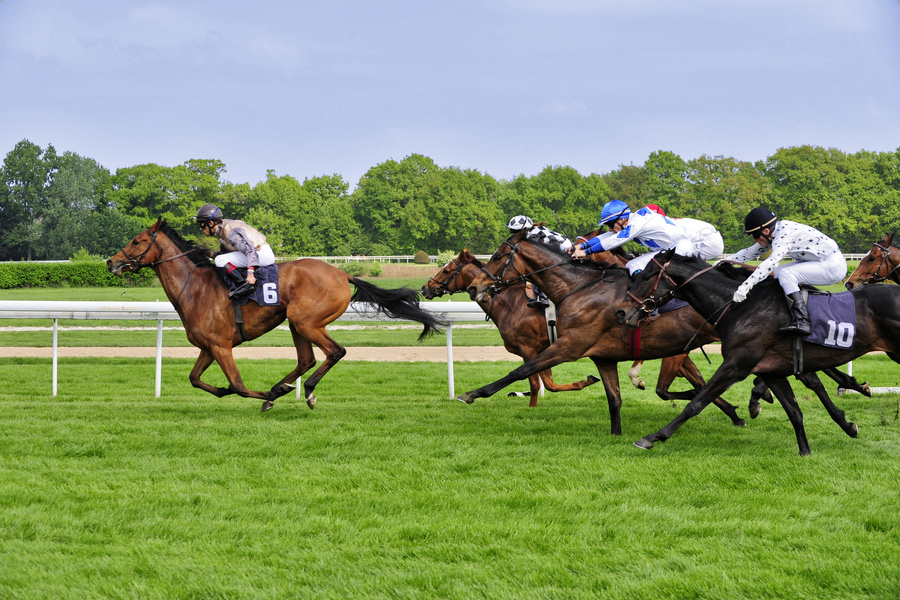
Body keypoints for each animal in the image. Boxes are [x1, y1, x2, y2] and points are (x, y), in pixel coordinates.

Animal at [107, 219, 444, 412]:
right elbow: (194, 379)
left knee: (335, 351)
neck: (195, 288)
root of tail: (341, 273)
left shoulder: (221, 346)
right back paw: (287, 387)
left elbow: (239, 386)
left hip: (305, 321)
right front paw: (232, 390)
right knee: (307, 359)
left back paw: (303, 391)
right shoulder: (208, 346)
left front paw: (265, 393)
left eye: (136, 241)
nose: (111, 262)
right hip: (297, 323)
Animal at [458, 227, 744, 434]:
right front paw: (616, 434)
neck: (578, 288)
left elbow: (521, 370)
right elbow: (614, 400)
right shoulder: (603, 357)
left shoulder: (570, 345)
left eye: (497, 257)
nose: (474, 287)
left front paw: (471, 394)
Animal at [624, 248, 900, 454]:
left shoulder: (736, 364)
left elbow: (696, 403)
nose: (622, 312)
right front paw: (805, 451)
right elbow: (794, 411)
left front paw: (652, 437)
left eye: (646, 276)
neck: (740, 306)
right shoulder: (772, 371)